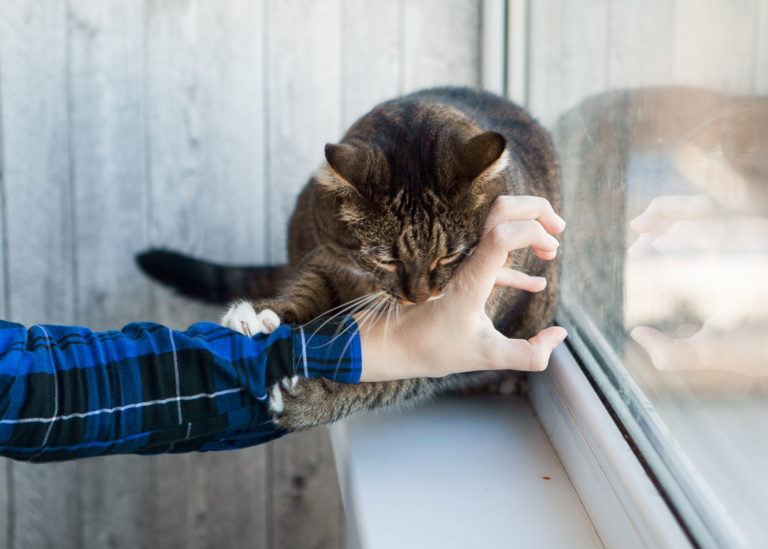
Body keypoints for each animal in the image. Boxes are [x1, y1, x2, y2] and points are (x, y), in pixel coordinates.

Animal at [140, 85, 560, 430]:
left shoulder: (457, 345)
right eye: (387, 260)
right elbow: (309, 288)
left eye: (449, 257)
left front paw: (309, 400)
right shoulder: (328, 256)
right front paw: (262, 314)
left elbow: (389, 381)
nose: (419, 298)